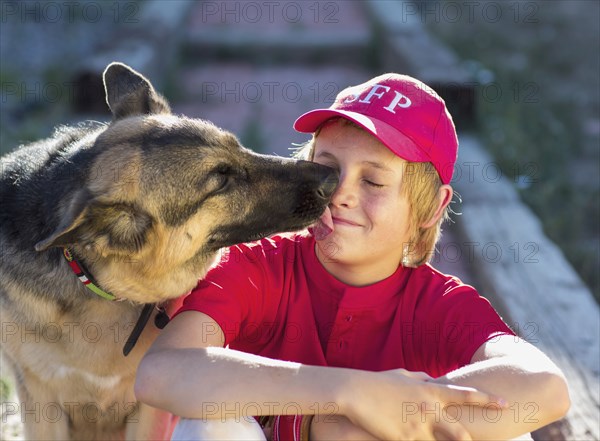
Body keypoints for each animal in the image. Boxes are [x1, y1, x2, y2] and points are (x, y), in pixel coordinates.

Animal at [0, 62, 338, 440]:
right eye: (221, 180)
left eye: (239, 148)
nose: (332, 177)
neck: (98, 289)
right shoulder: (42, 404)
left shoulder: (148, 408)